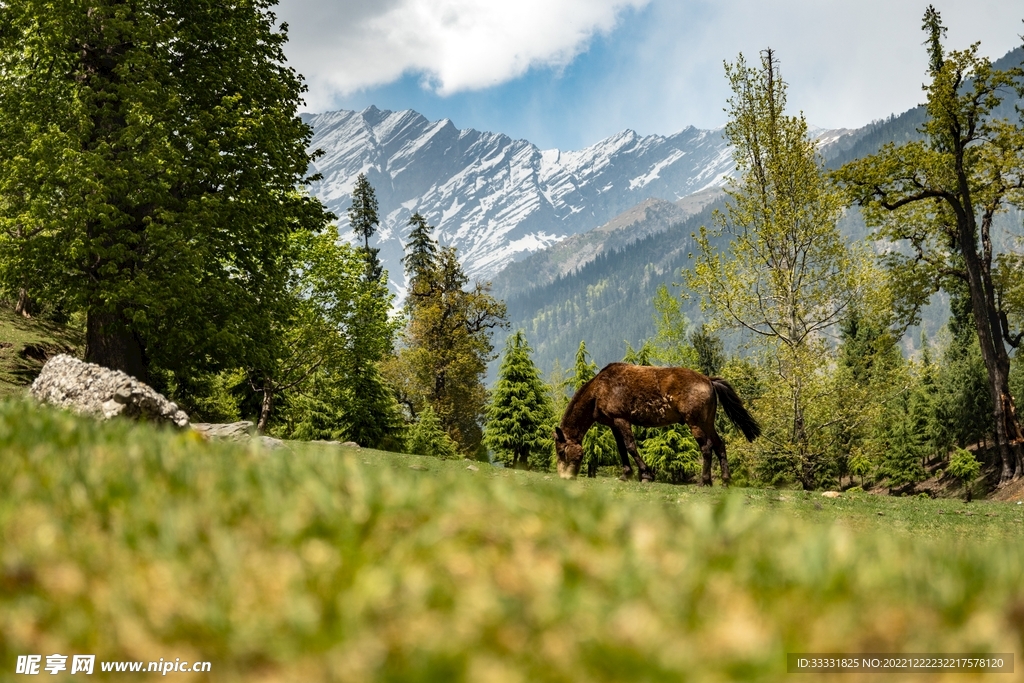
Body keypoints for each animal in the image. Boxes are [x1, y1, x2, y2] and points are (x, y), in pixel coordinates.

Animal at [553, 362, 760, 484]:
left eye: (561, 451)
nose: (564, 476)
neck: (600, 389)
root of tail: (708, 380)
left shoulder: (622, 420)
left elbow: (630, 447)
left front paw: (646, 474)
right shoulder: (614, 424)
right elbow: (622, 449)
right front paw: (626, 474)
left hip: (695, 423)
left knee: (706, 448)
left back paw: (705, 480)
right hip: (707, 422)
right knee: (719, 445)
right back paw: (725, 480)